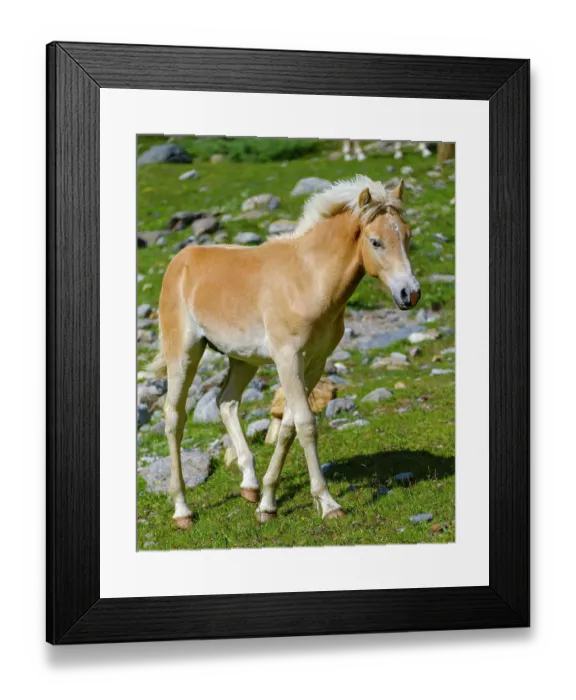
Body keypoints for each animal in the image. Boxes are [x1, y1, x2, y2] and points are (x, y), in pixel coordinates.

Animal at [150, 175, 421, 529]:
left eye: (407, 235)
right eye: (375, 242)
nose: (409, 294)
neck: (308, 279)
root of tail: (179, 262)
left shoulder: (314, 363)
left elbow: (289, 427)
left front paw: (267, 502)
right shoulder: (288, 359)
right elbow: (306, 425)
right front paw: (328, 503)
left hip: (243, 359)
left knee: (226, 403)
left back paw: (249, 485)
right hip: (184, 354)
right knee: (174, 417)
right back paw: (182, 510)